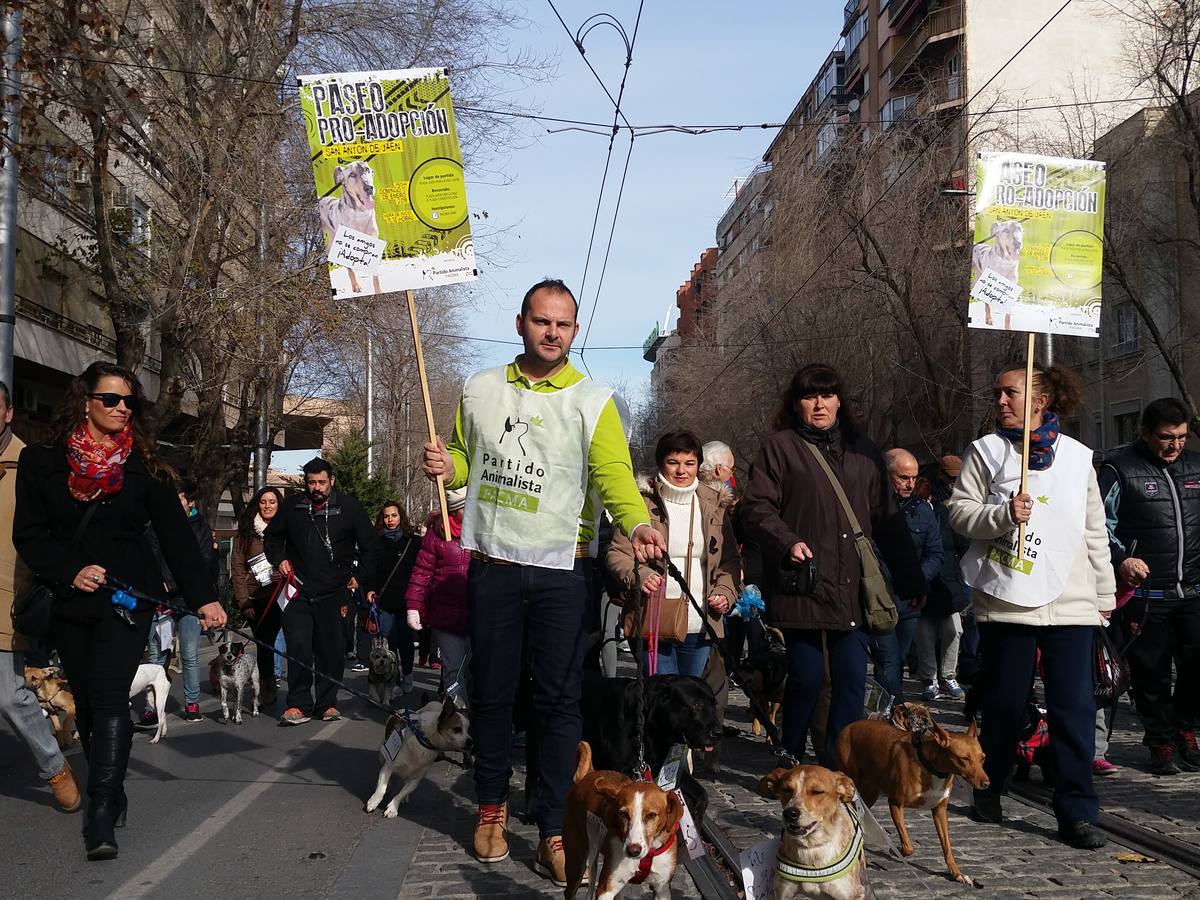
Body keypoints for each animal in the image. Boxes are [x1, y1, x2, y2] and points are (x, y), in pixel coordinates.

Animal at [316, 157, 381, 292]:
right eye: (352, 175)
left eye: (368, 170)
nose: (369, 188)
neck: (360, 214)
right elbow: (350, 271)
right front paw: (356, 286)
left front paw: (378, 290)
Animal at [564, 744, 686, 897]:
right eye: (623, 814)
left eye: (651, 815)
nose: (633, 850)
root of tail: (587, 775)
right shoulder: (606, 888)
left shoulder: (662, 888)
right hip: (577, 859)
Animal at [758, 768, 873, 900]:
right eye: (786, 789)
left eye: (817, 791)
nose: (789, 813)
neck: (811, 847)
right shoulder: (782, 892)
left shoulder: (852, 894)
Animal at [830, 720, 988, 888]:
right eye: (964, 758)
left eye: (983, 758)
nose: (986, 784)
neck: (930, 767)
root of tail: (849, 727)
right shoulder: (895, 803)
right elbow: (908, 846)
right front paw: (896, 850)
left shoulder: (940, 811)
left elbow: (947, 847)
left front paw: (957, 873)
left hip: (870, 793)